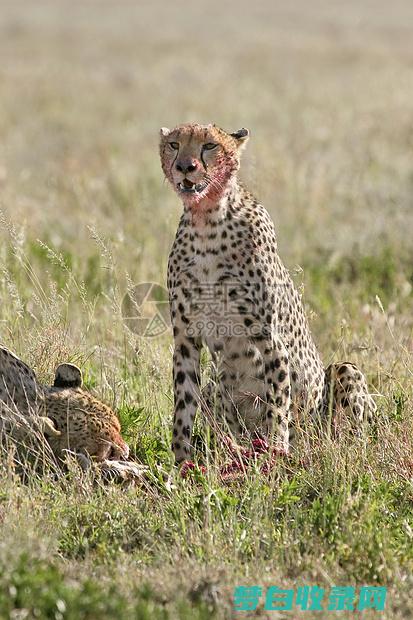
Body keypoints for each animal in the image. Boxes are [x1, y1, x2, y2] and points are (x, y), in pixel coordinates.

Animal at [159, 121, 374, 462]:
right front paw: (181, 464)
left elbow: (277, 401)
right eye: (174, 144)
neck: (207, 220)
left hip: (341, 377)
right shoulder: (186, 339)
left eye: (209, 145)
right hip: (215, 389)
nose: (185, 167)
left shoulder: (269, 338)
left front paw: (275, 451)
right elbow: (183, 404)